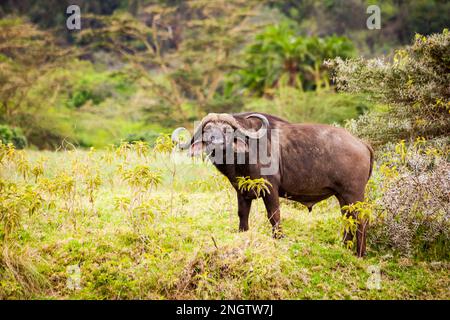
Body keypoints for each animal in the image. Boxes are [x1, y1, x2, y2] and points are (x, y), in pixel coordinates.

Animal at [174, 112, 374, 258]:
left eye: (226, 130)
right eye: (208, 130)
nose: (216, 142)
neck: (246, 154)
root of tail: (362, 143)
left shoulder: (270, 189)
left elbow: (274, 215)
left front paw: (278, 238)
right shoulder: (242, 192)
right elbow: (242, 215)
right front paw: (243, 233)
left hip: (354, 194)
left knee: (361, 221)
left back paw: (360, 254)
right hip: (342, 197)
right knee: (348, 219)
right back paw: (345, 247)